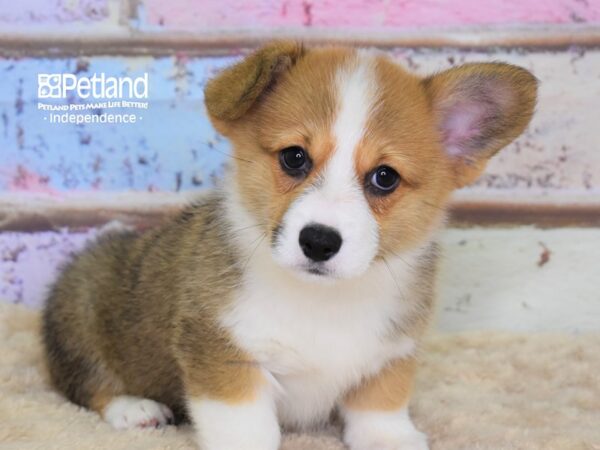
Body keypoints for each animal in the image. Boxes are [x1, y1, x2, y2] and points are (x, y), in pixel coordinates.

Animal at [43, 42, 540, 450]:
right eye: (294, 157)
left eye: (385, 177)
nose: (319, 241)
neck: (323, 299)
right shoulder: (225, 360)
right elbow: (248, 432)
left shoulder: (390, 356)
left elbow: (382, 407)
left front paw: (391, 438)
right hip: (80, 306)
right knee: (85, 381)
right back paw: (134, 408)